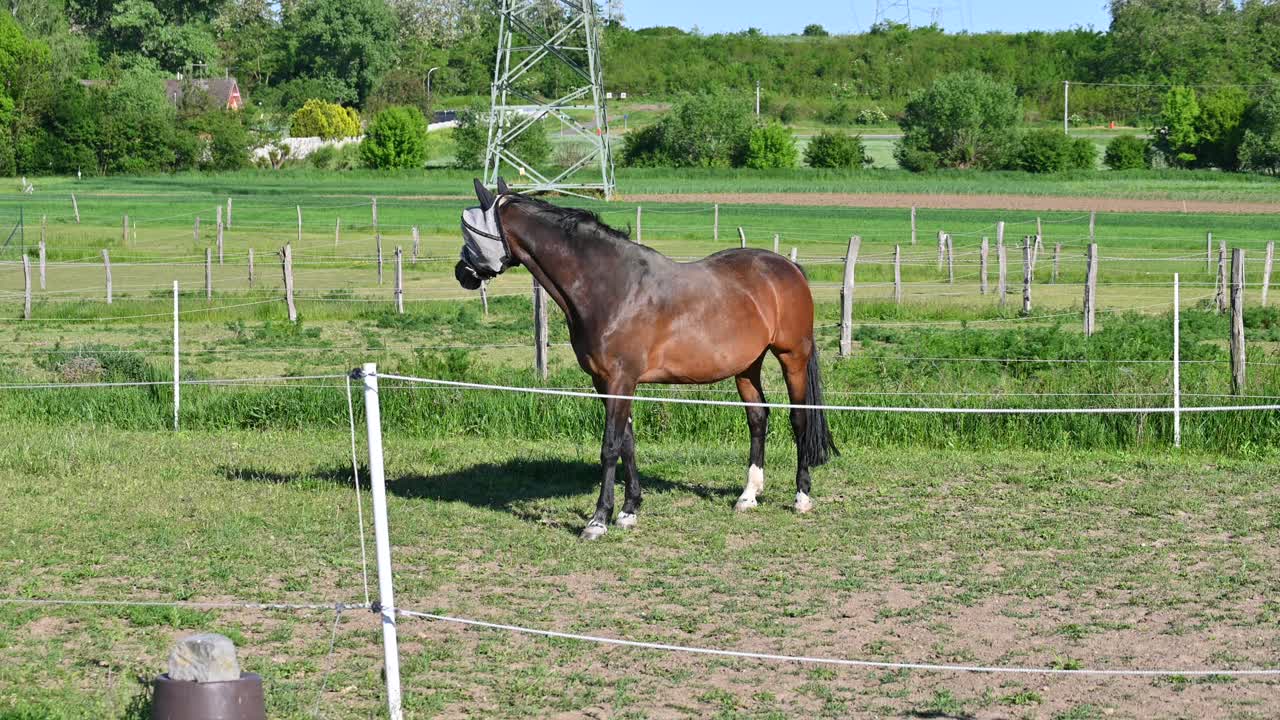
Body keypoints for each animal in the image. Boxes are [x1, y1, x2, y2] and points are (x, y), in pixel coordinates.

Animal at [455, 179, 834, 538]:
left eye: (470, 231)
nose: (461, 272)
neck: (612, 287)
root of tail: (786, 266)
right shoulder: (605, 381)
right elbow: (627, 442)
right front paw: (628, 511)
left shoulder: (621, 379)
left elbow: (609, 446)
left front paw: (598, 520)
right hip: (747, 367)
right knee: (758, 419)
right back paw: (748, 495)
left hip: (792, 356)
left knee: (800, 419)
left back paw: (802, 496)